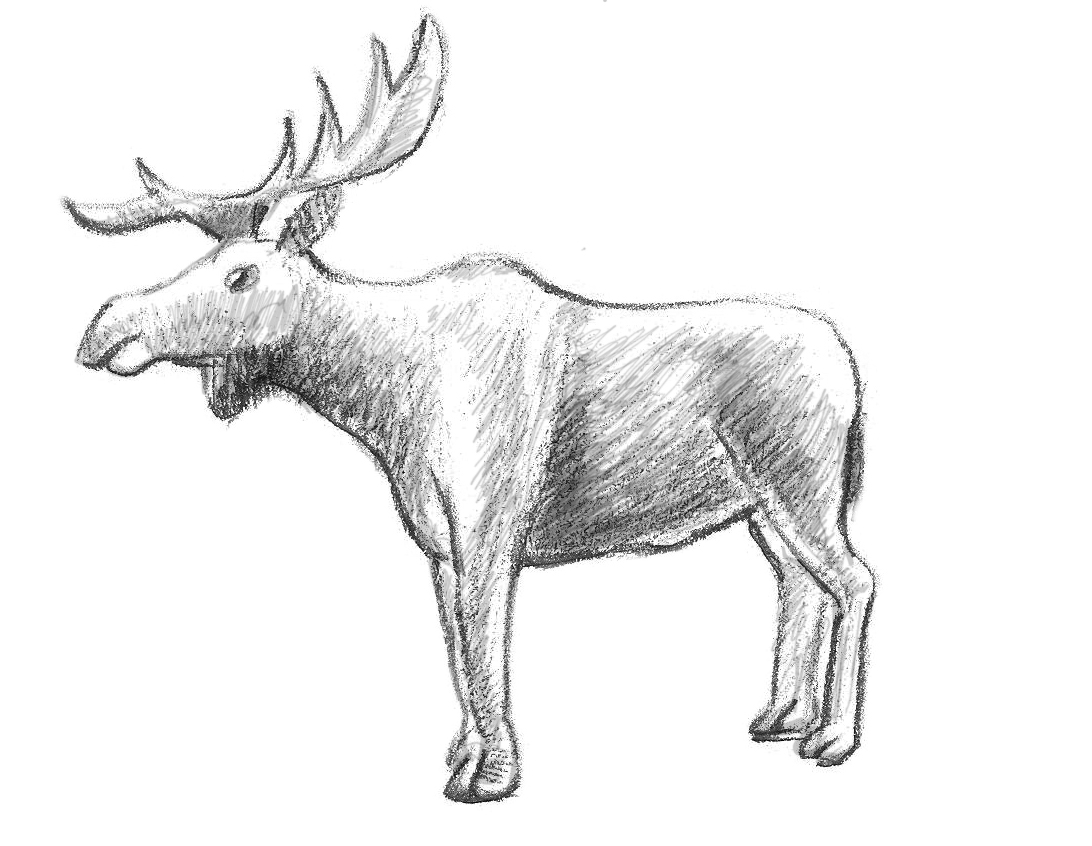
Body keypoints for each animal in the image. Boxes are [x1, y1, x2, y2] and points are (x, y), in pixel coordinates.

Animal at [67, 15, 875, 802]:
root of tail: (848, 368)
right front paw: (461, 755)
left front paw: (491, 775)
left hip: (801, 486)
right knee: (800, 584)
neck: (384, 395)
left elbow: (484, 650)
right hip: (762, 507)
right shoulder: (437, 542)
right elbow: (457, 653)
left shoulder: (489, 529)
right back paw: (781, 716)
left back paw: (832, 737)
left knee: (854, 578)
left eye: (240, 274)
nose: (103, 327)